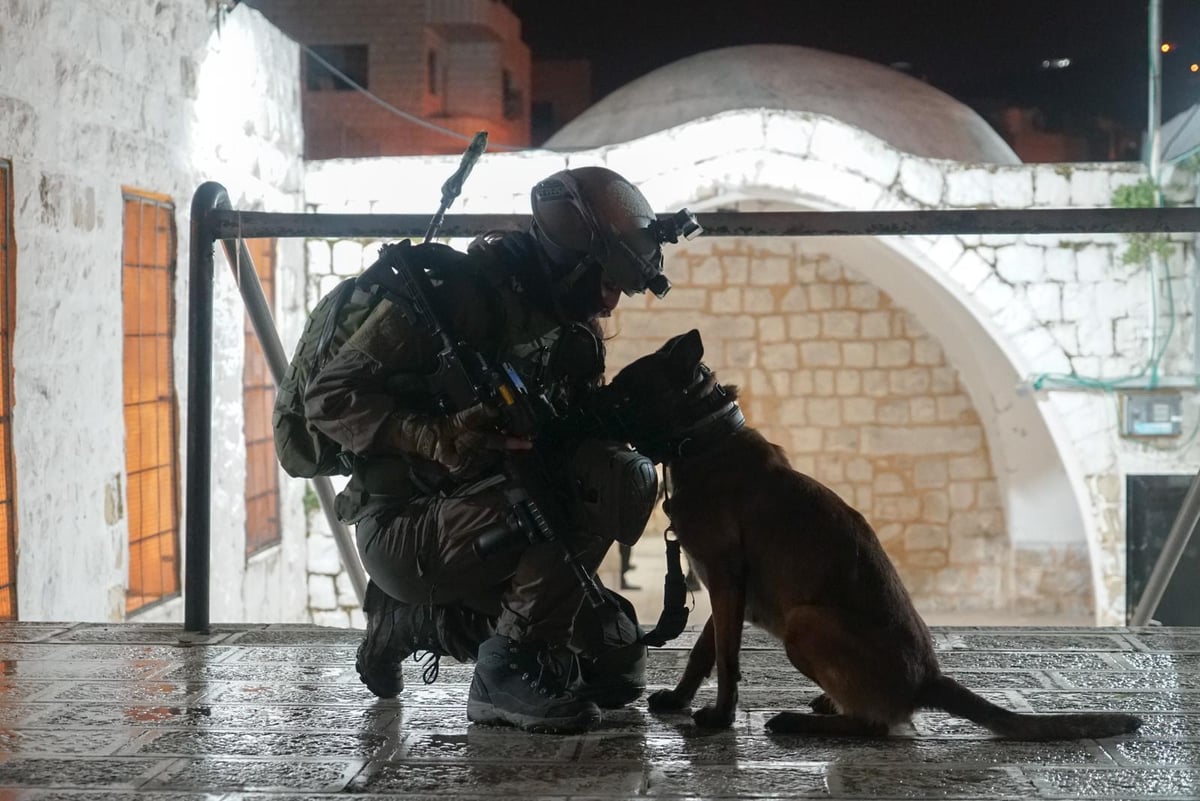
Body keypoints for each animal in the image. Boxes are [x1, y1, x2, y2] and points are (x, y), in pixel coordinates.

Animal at [609, 330, 1142, 738]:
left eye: (627, 391)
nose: (598, 404)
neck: (705, 438)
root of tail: (928, 680)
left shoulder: (724, 580)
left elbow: (725, 659)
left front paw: (721, 718)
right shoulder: (726, 588)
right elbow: (704, 653)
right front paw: (681, 701)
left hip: (804, 622)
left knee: (876, 724)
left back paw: (805, 722)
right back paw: (825, 705)